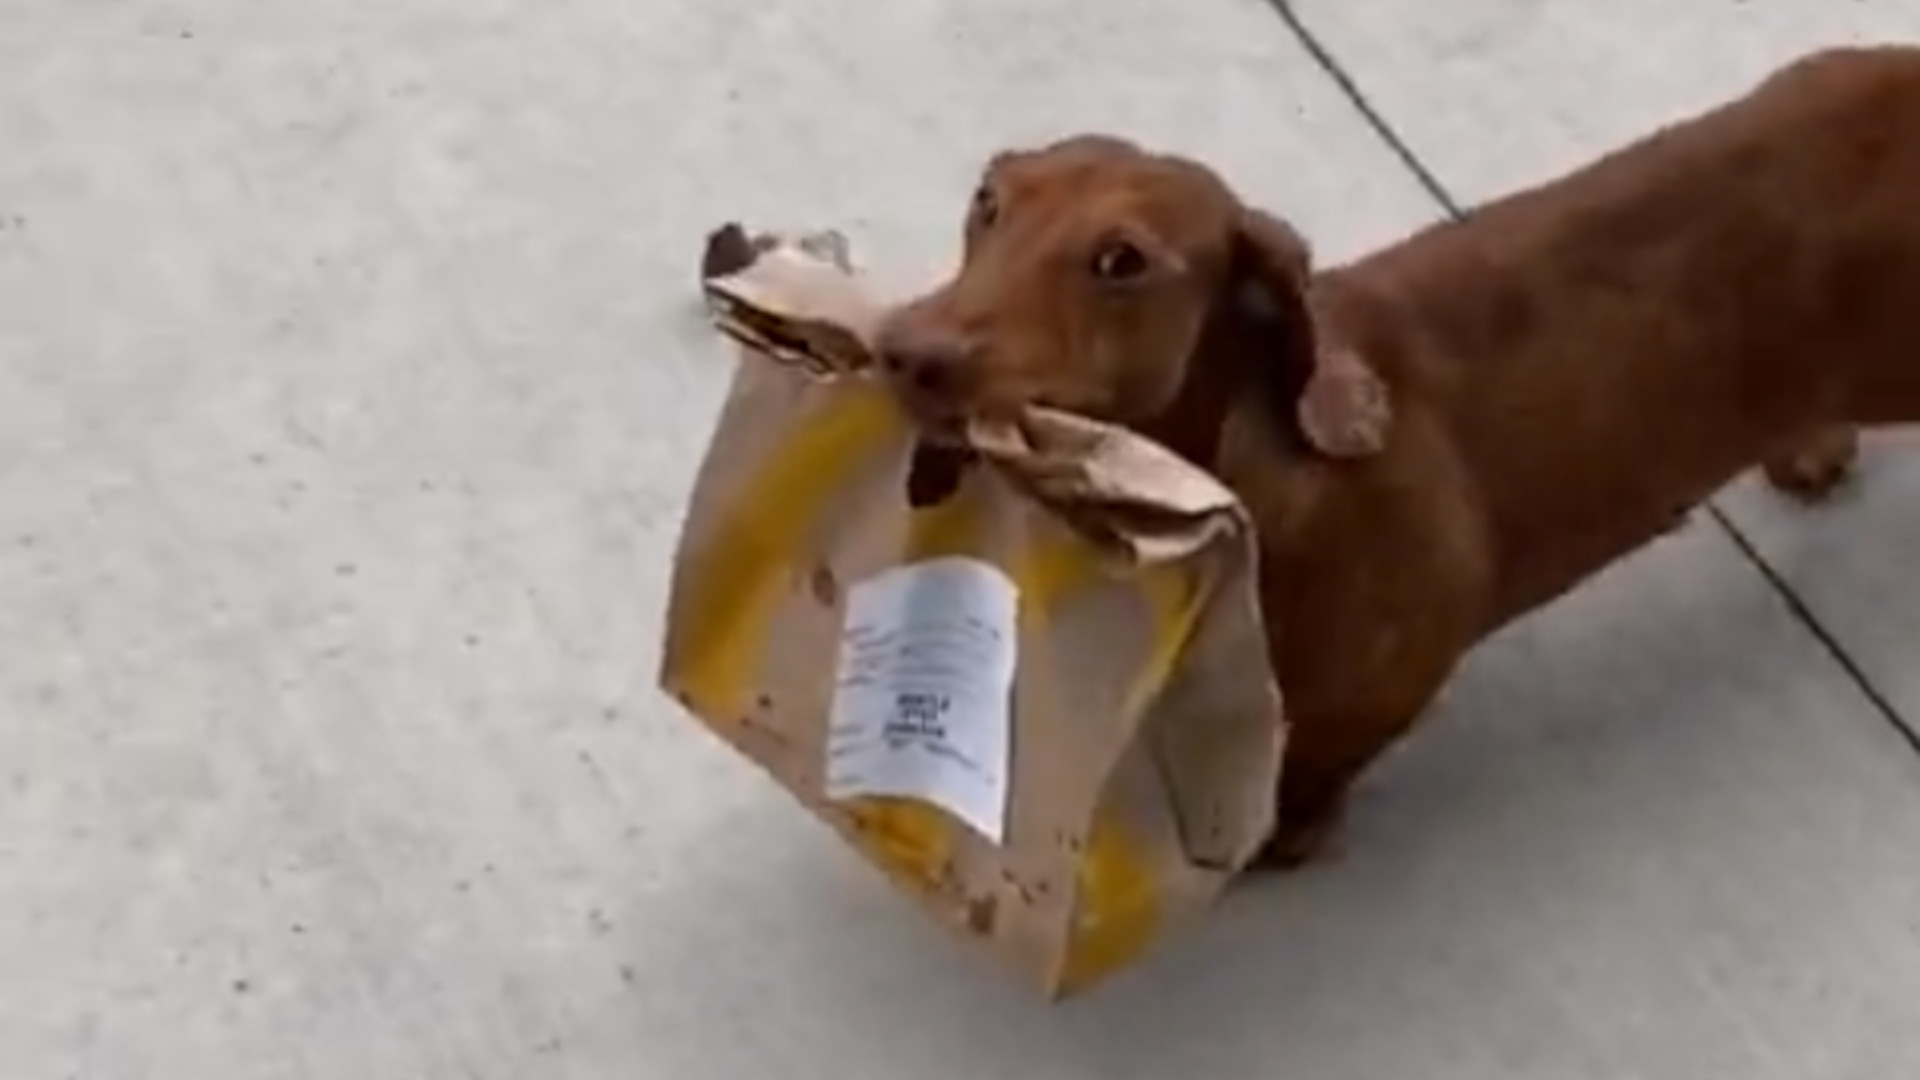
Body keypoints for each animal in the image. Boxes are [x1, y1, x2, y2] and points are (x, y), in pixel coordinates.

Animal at [879, 46, 1920, 860]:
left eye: (1121, 260)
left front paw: (1285, 838)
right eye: (989, 202)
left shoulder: (1387, 683)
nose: (905, 349)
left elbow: (1312, 770)